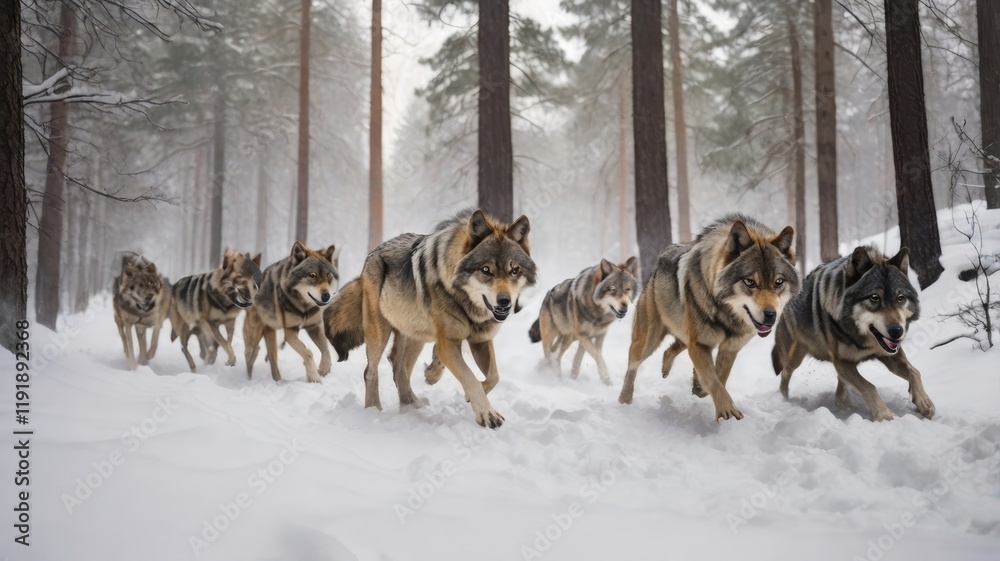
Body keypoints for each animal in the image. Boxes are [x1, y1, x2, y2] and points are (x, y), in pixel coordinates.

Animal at [243, 242, 338, 383]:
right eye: (312, 275)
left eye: (328, 275)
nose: (326, 296)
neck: (303, 307)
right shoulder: (290, 332)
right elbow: (308, 353)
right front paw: (315, 377)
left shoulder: (314, 326)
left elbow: (325, 350)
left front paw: (323, 369)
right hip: (255, 337)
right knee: (253, 355)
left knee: (271, 357)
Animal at [325, 209, 537, 428]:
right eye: (486, 270)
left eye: (514, 270)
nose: (505, 302)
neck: (465, 303)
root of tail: (371, 254)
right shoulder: (449, 342)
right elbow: (469, 376)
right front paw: (487, 413)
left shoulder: (481, 340)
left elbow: (494, 376)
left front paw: (454, 386)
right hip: (380, 333)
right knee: (371, 371)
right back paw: (374, 410)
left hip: (415, 334)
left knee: (399, 367)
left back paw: (412, 404)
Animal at [617, 215, 799, 421]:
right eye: (750, 282)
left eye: (779, 282)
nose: (770, 315)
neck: (727, 315)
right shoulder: (700, 344)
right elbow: (714, 380)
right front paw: (727, 411)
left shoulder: (729, 348)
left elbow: (719, 376)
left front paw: (699, 386)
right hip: (647, 342)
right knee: (632, 365)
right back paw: (624, 400)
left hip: (684, 336)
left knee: (672, 349)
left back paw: (667, 368)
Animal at [771, 246, 933, 421]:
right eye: (874, 298)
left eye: (900, 298)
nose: (897, 331)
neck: (861, 340)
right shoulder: (842, 361)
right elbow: (869, 386)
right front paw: (885, 415)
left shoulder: (889, 354)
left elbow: (914, 372)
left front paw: (924, 403)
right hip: (795, 358)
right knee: (785, 374)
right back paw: (785, 400)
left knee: (841, 382)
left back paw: (842, 403)